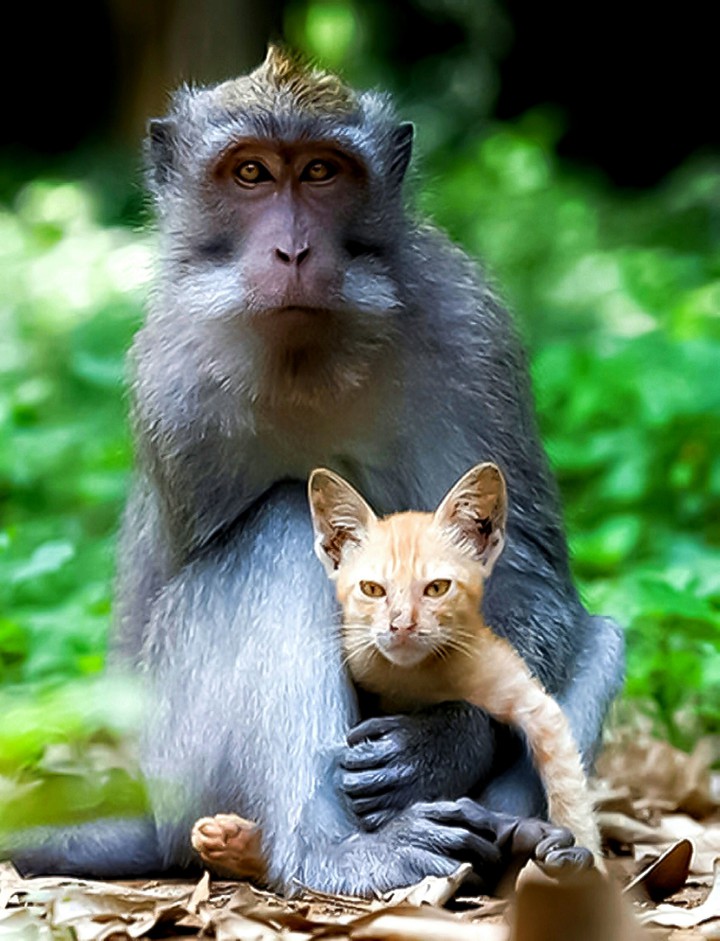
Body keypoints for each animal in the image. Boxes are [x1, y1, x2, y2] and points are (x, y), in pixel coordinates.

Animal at [4, 47, 623, 895]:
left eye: (324, 172)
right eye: (252, 173)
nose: (294, 252)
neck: (308, 357)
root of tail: (153, 818)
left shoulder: (472, 329)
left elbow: (529, 567)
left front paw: (444, 740)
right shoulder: (171, 380)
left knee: (600, 636)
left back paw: (520, 839)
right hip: (184, 766)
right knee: (276, 533)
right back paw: (326, 850)